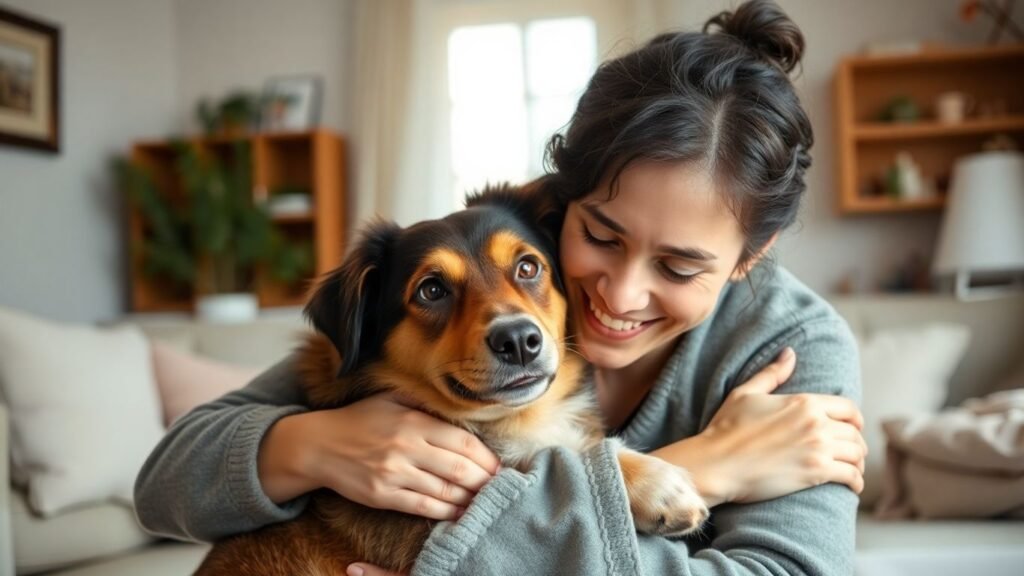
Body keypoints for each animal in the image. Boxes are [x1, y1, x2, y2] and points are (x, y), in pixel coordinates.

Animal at [195, 182, 708, 573]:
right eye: (432, 290)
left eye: (528, 266)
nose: (518, 340)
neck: (505, 420)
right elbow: (546, 457)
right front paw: (658, 486)